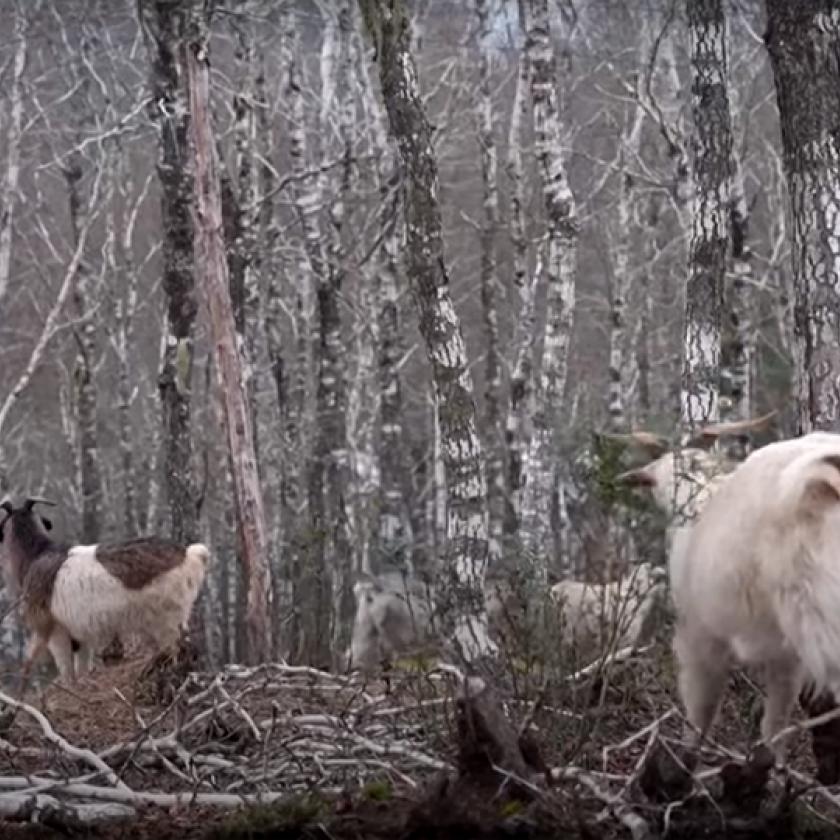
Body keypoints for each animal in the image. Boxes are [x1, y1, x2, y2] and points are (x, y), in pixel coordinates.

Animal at [0, 496, 210, 684]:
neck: (36, 554)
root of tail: (189, 554)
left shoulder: (54, 631)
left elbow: (67, 673)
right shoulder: (81, 637)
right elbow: (81, 670)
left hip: (167, 623)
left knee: (176, 653)